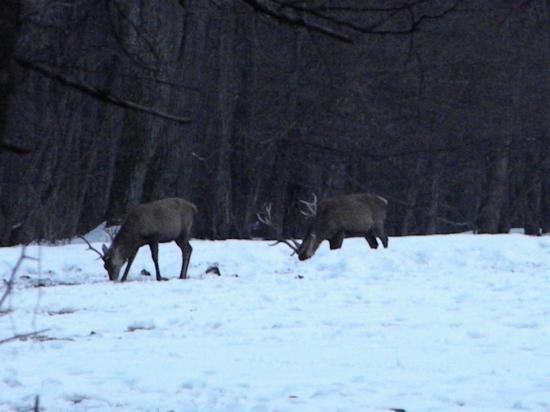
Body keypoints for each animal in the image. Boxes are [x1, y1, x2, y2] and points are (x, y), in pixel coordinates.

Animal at [260, 192, 390, 260]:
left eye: (307, 257)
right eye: (299, 257)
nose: (302, 259)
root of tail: (385, 201)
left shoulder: (340, 230)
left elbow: (336, 248)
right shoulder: (330, 237)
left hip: (378, 222)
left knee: (385, 239)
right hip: (365, 231)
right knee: (374, 244)